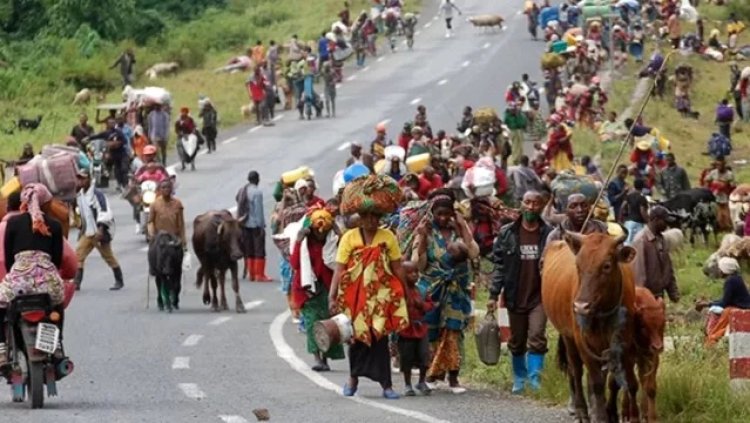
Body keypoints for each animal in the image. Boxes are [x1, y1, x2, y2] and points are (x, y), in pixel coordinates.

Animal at [540, 232, 640, 423]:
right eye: (578, 265)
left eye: (607, 265)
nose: (581, 306)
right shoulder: (583, 344)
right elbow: (596, 383)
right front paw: (600, 416)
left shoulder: (622, 342)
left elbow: (613, 381)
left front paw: (611, 413)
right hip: (569, 338)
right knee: (576, 372)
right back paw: (581, 410)